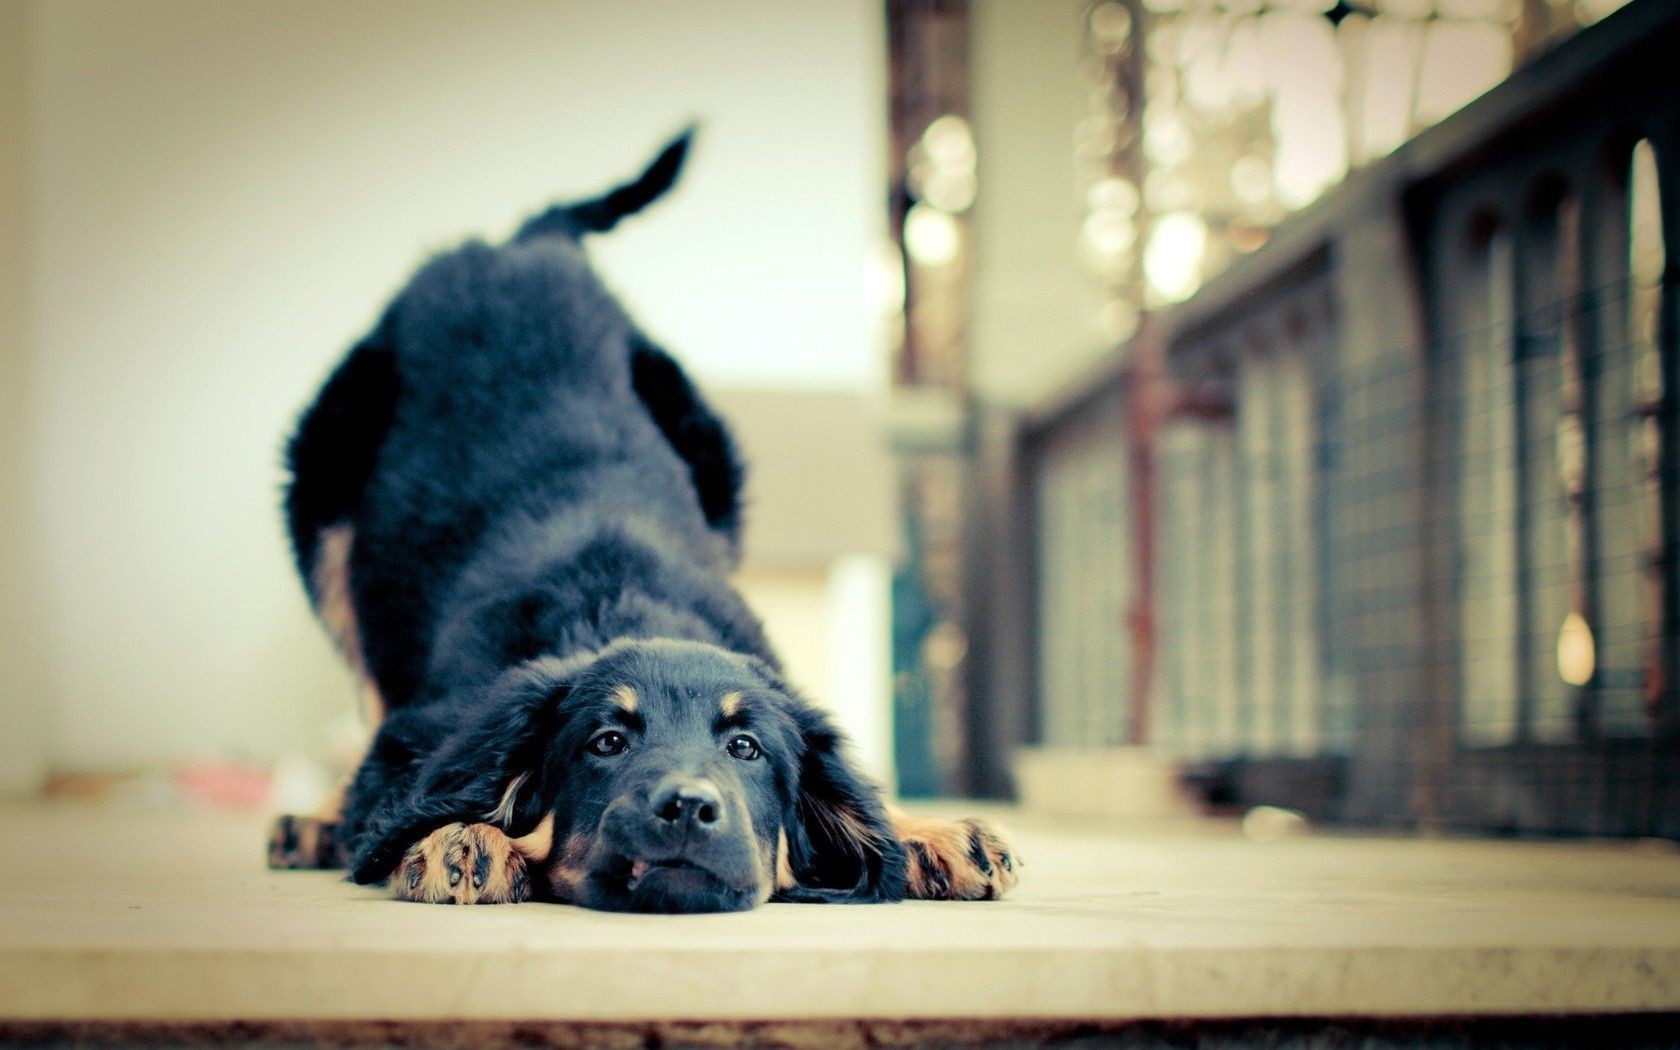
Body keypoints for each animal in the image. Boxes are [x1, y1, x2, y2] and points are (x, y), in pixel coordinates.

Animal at [268, 125, 1014, 907]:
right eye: (608, 742)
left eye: (745, 749)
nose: (686, 806)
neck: (618, 607)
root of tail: (518, 246)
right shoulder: (429, 724)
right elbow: (408, 780)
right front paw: (455, 834)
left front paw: (928, 832)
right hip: (323, 501)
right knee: (366, 689)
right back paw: (315, 821)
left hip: (710, 462)